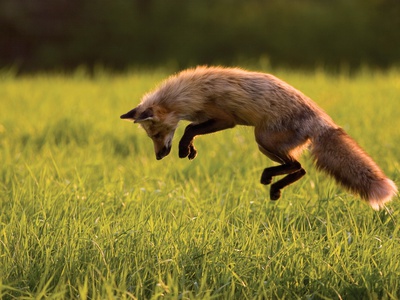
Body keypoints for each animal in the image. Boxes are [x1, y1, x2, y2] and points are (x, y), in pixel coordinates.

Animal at [121, 67, 396, 210]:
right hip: (266, 145)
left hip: (262, 138)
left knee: (298, 167)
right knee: (300, 169)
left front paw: (184, 148)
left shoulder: (225, 119)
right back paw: (274, 185)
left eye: (157, 134)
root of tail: (322, 120)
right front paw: (190, 150)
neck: (189, 93)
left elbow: (189, 128)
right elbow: (190, 129)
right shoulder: (213, 120)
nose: (159, 156)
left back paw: (271, 182)